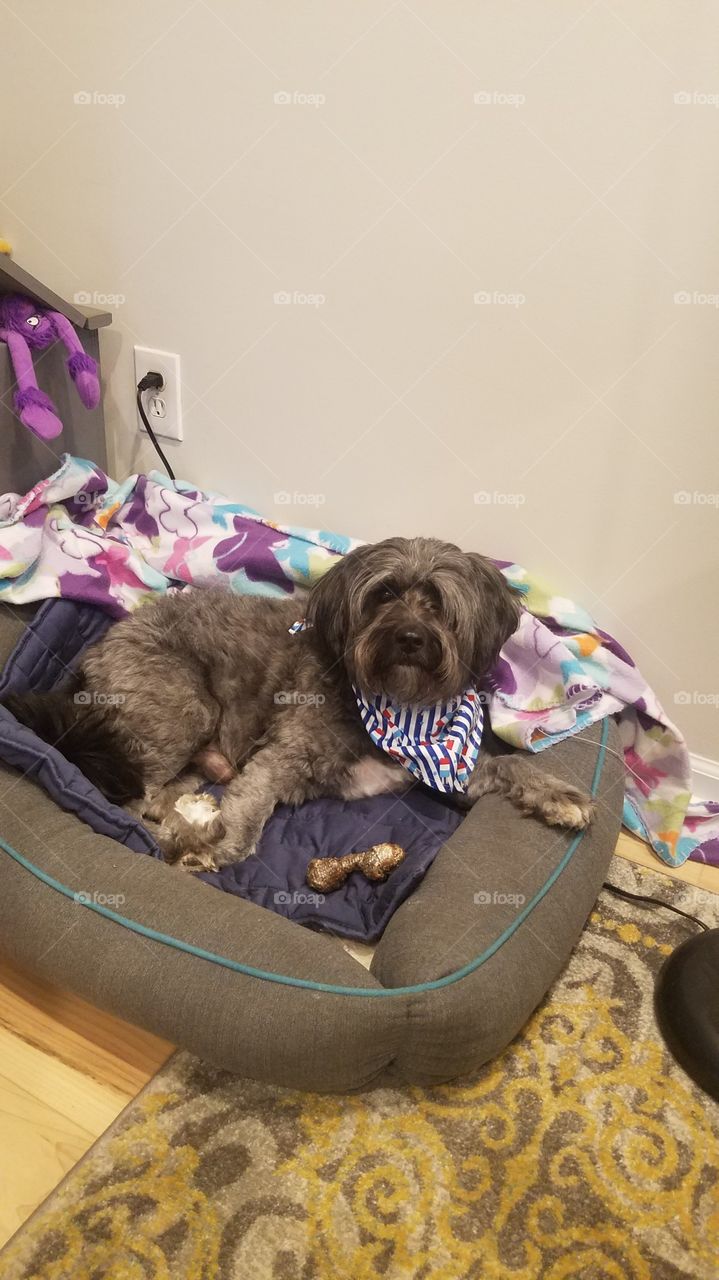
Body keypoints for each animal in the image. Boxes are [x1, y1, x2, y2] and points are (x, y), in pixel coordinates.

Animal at [5, 540, 593, 870]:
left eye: (439, 603)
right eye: (383, 595)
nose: (409, 638)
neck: (394, 702)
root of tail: (95, 651)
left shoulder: (442, 767)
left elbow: (509, 763)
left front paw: (558, 794)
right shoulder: (279, 760)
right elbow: (246, 827)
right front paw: (213, 847)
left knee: (156, 798)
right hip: (182, 709)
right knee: (129, 804)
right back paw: (178, 830)